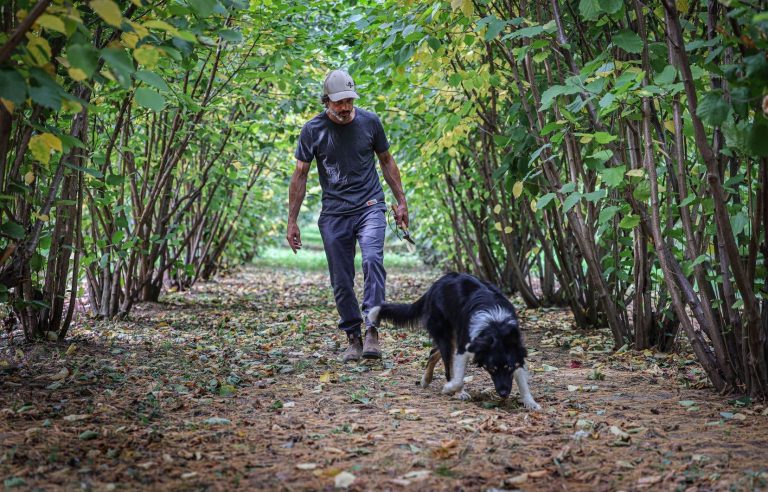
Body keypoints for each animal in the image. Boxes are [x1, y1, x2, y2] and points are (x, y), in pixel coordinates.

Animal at [368, 270, 540, 410]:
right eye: (491, 369)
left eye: (509, 368)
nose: (504, 393)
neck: (495, 326)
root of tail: (434, 285)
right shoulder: (465, 347)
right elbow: (457, 378)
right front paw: (452, 389)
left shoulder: (516, 349)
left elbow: (522, 380)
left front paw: (530, 402)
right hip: (447, 336)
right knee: (446, 363)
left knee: (433, 352)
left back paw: (426, 379)